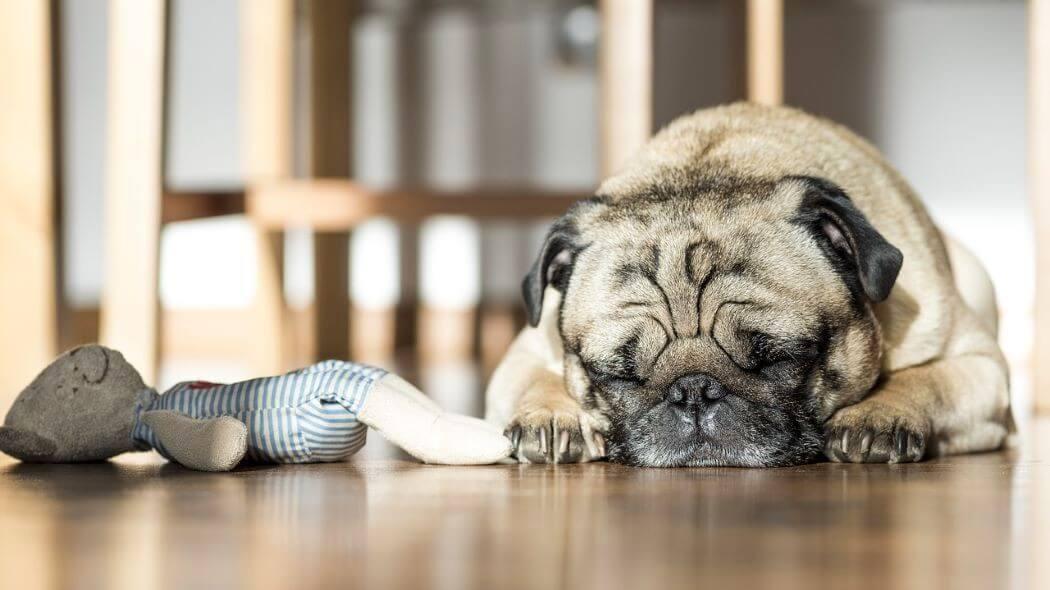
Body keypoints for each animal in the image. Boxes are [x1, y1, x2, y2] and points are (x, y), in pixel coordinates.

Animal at [487, 103, 1012, 466]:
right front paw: (552, 415)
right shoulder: (527, 352)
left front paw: (880, 412)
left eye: (779, 358)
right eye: (617, 374)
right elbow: (535, 380)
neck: (705, 171)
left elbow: (928, 378)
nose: (693, 391)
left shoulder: (981, 366)